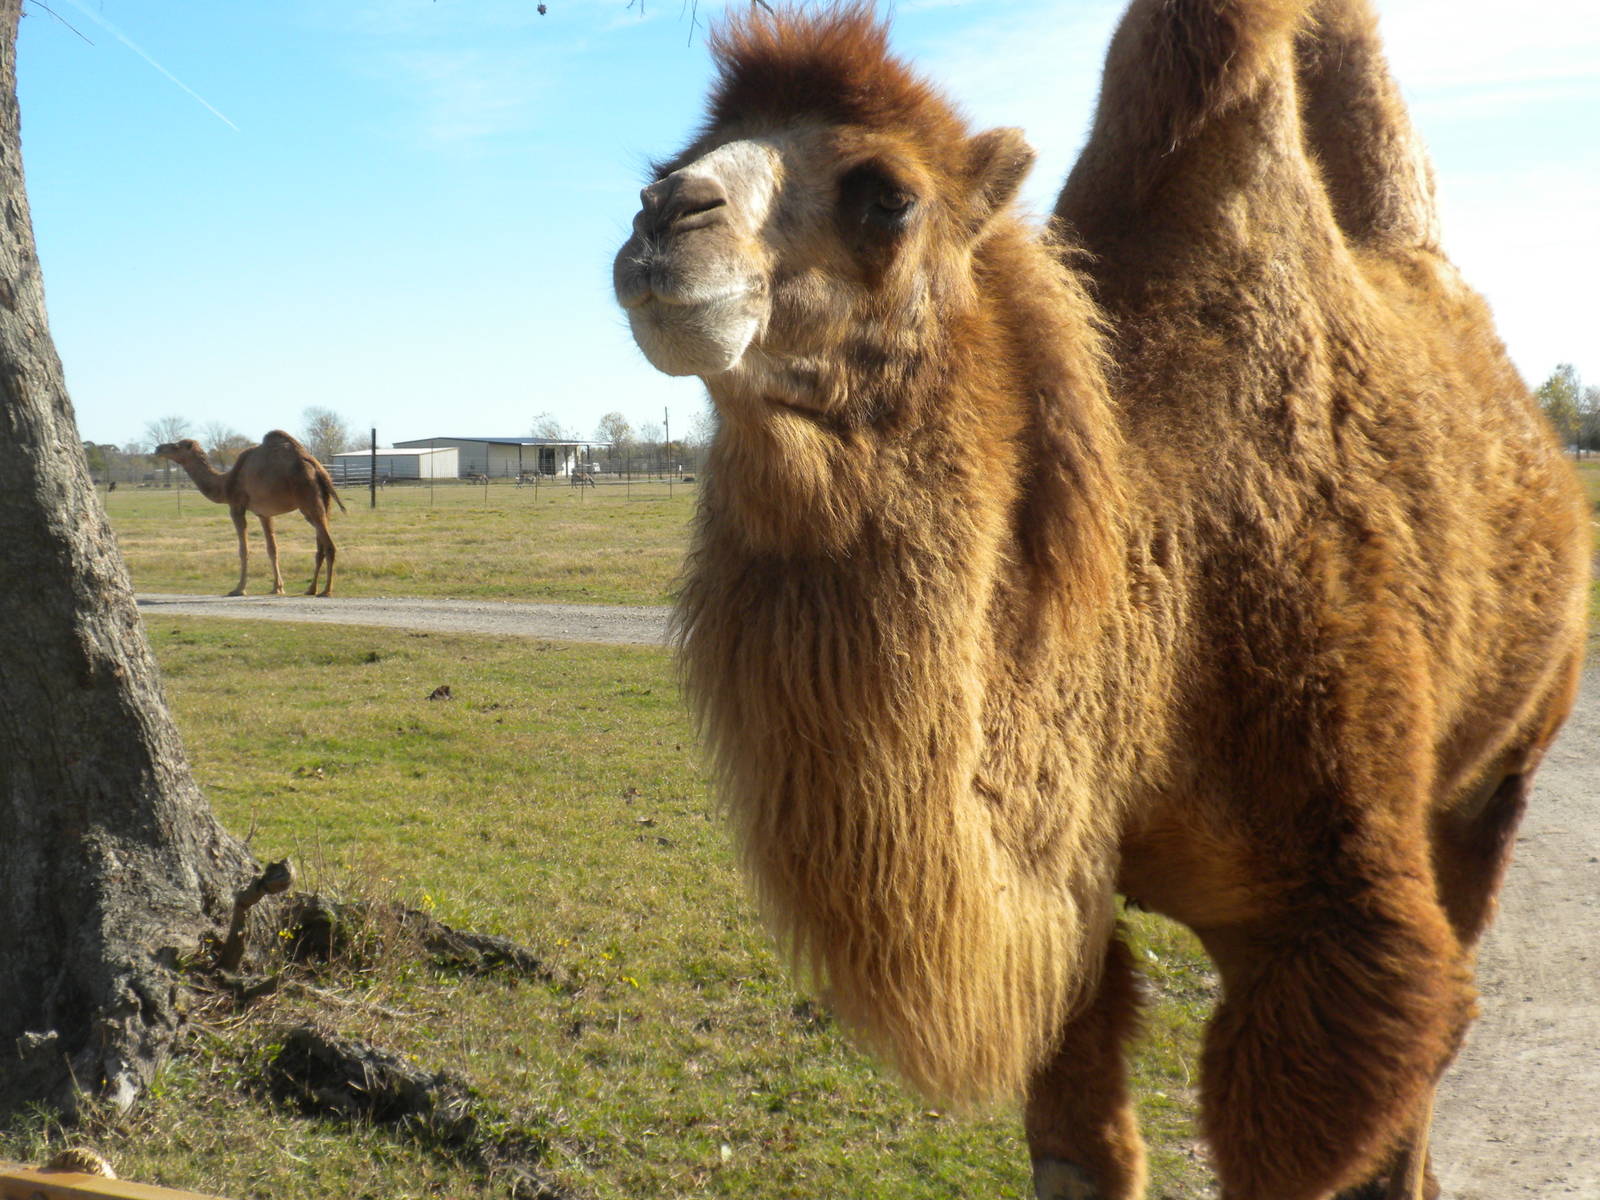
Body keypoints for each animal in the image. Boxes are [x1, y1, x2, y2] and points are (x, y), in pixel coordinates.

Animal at [155, 430, 345, 597]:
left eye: (177, 445)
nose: (158, 448)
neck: (226, 483)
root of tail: (319, 469)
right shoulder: (264, 514)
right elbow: (272, 548)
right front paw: (277, 587)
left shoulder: (236, 506)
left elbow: (243, 549)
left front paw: (239, 589)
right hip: (321, 504)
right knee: (320, 546)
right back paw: (311, 589)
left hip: (308, 499)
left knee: (329, 546)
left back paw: (326, 591)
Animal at [612, 3, 1589, 1198]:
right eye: (668, 161)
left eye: (886, 194)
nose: (665, 218)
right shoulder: (1067, 912)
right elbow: (1078, 1149)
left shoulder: (1334, 924)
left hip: (1501, 766)